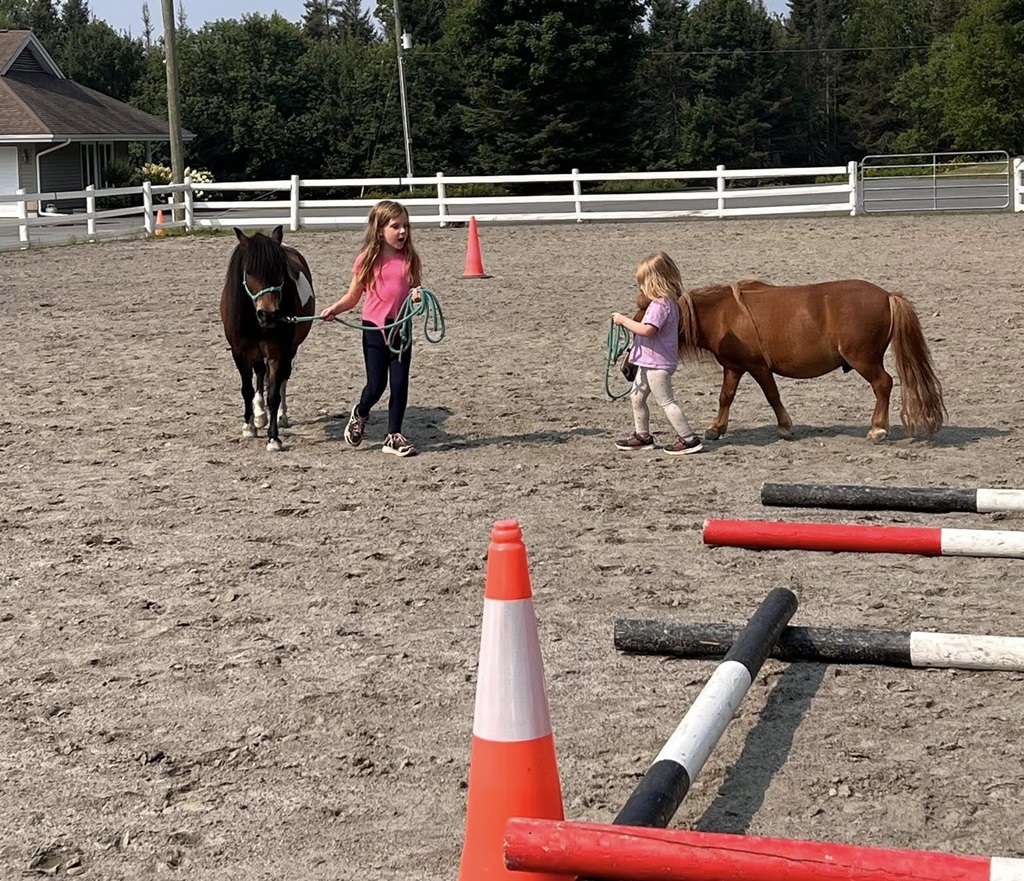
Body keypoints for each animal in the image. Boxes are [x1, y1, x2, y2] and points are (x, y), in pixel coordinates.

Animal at [219, 226, 316, 452]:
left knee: (283, 379)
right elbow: (247, 389)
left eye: (280, 271)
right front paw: (249, 426)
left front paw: (274, 438)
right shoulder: (240, 353)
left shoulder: (278, 352)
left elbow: (274, 394)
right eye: (249, 272)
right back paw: (259, 415)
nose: (268, 314)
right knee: (260, 373)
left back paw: (282, 416)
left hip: (290, 350)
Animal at [670, 279, 946, 442]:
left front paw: (784, 426)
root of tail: (887, 295)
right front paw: (716, 428)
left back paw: (877, 428)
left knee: (883, 384)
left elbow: (772, 395)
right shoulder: (733, 367)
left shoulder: (759, 367)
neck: (725, 313)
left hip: (864, 360)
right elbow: (725, 397)